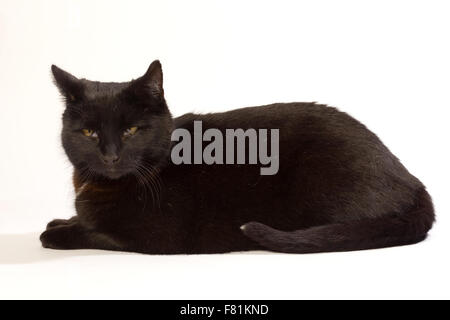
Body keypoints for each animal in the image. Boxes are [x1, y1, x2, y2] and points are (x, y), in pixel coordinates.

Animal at [39, 60, 436, 252]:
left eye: (131, 131)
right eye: (89, 133)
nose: (109, 156)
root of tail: (413, 181)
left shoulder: (158, 237)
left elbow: (94, 233)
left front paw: (59, 231)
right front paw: (61, 220)